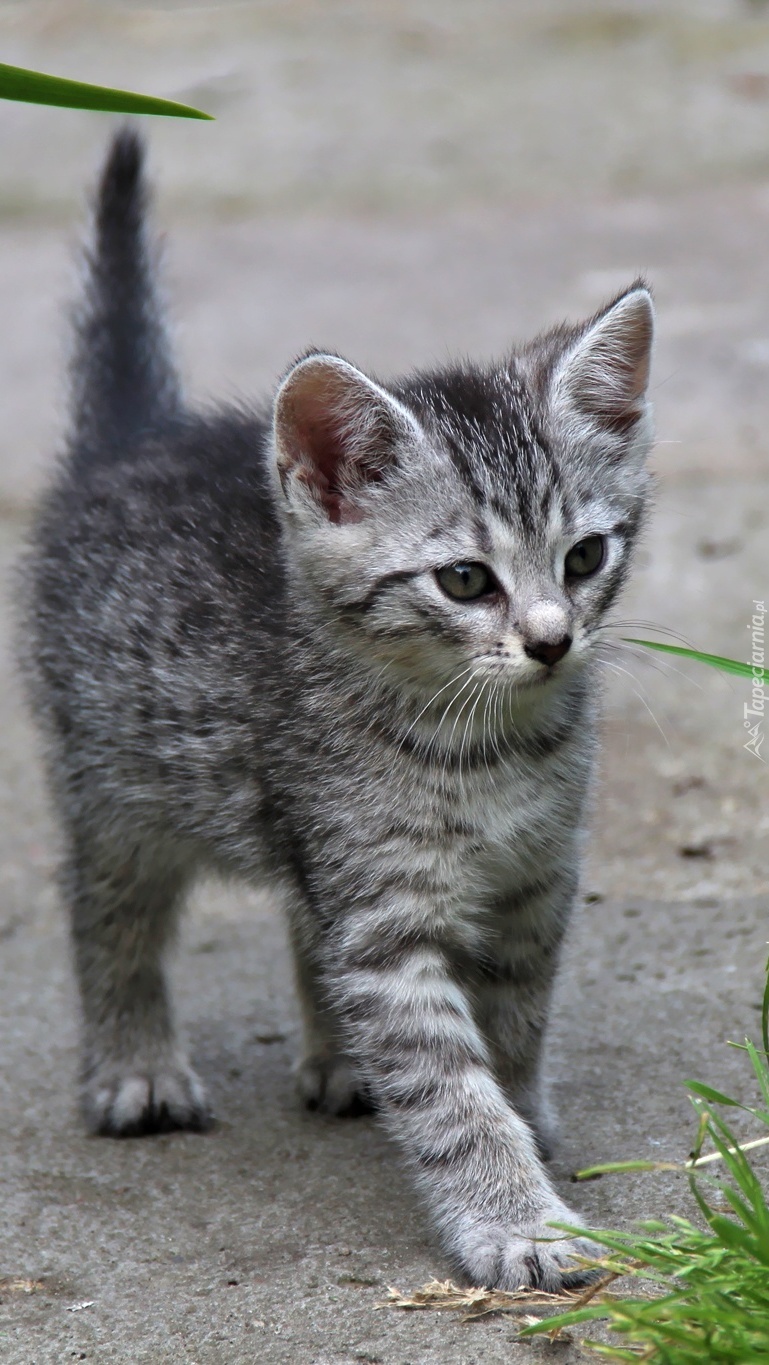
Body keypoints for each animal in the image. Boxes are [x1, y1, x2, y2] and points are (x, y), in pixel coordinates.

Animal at [19, 130, 655, 1288]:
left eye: (585, 557)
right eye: (464, 581)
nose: (552, 639)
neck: (487, 748)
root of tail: (135, 441)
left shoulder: (538, 880)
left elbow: (516, 1023)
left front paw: (528, 1122)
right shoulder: (383, 918)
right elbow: (450, 1090)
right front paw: (514, 1218)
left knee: (293, 914)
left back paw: (331, 1057)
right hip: (116, 783)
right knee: (106, 910)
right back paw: (135, 1063)